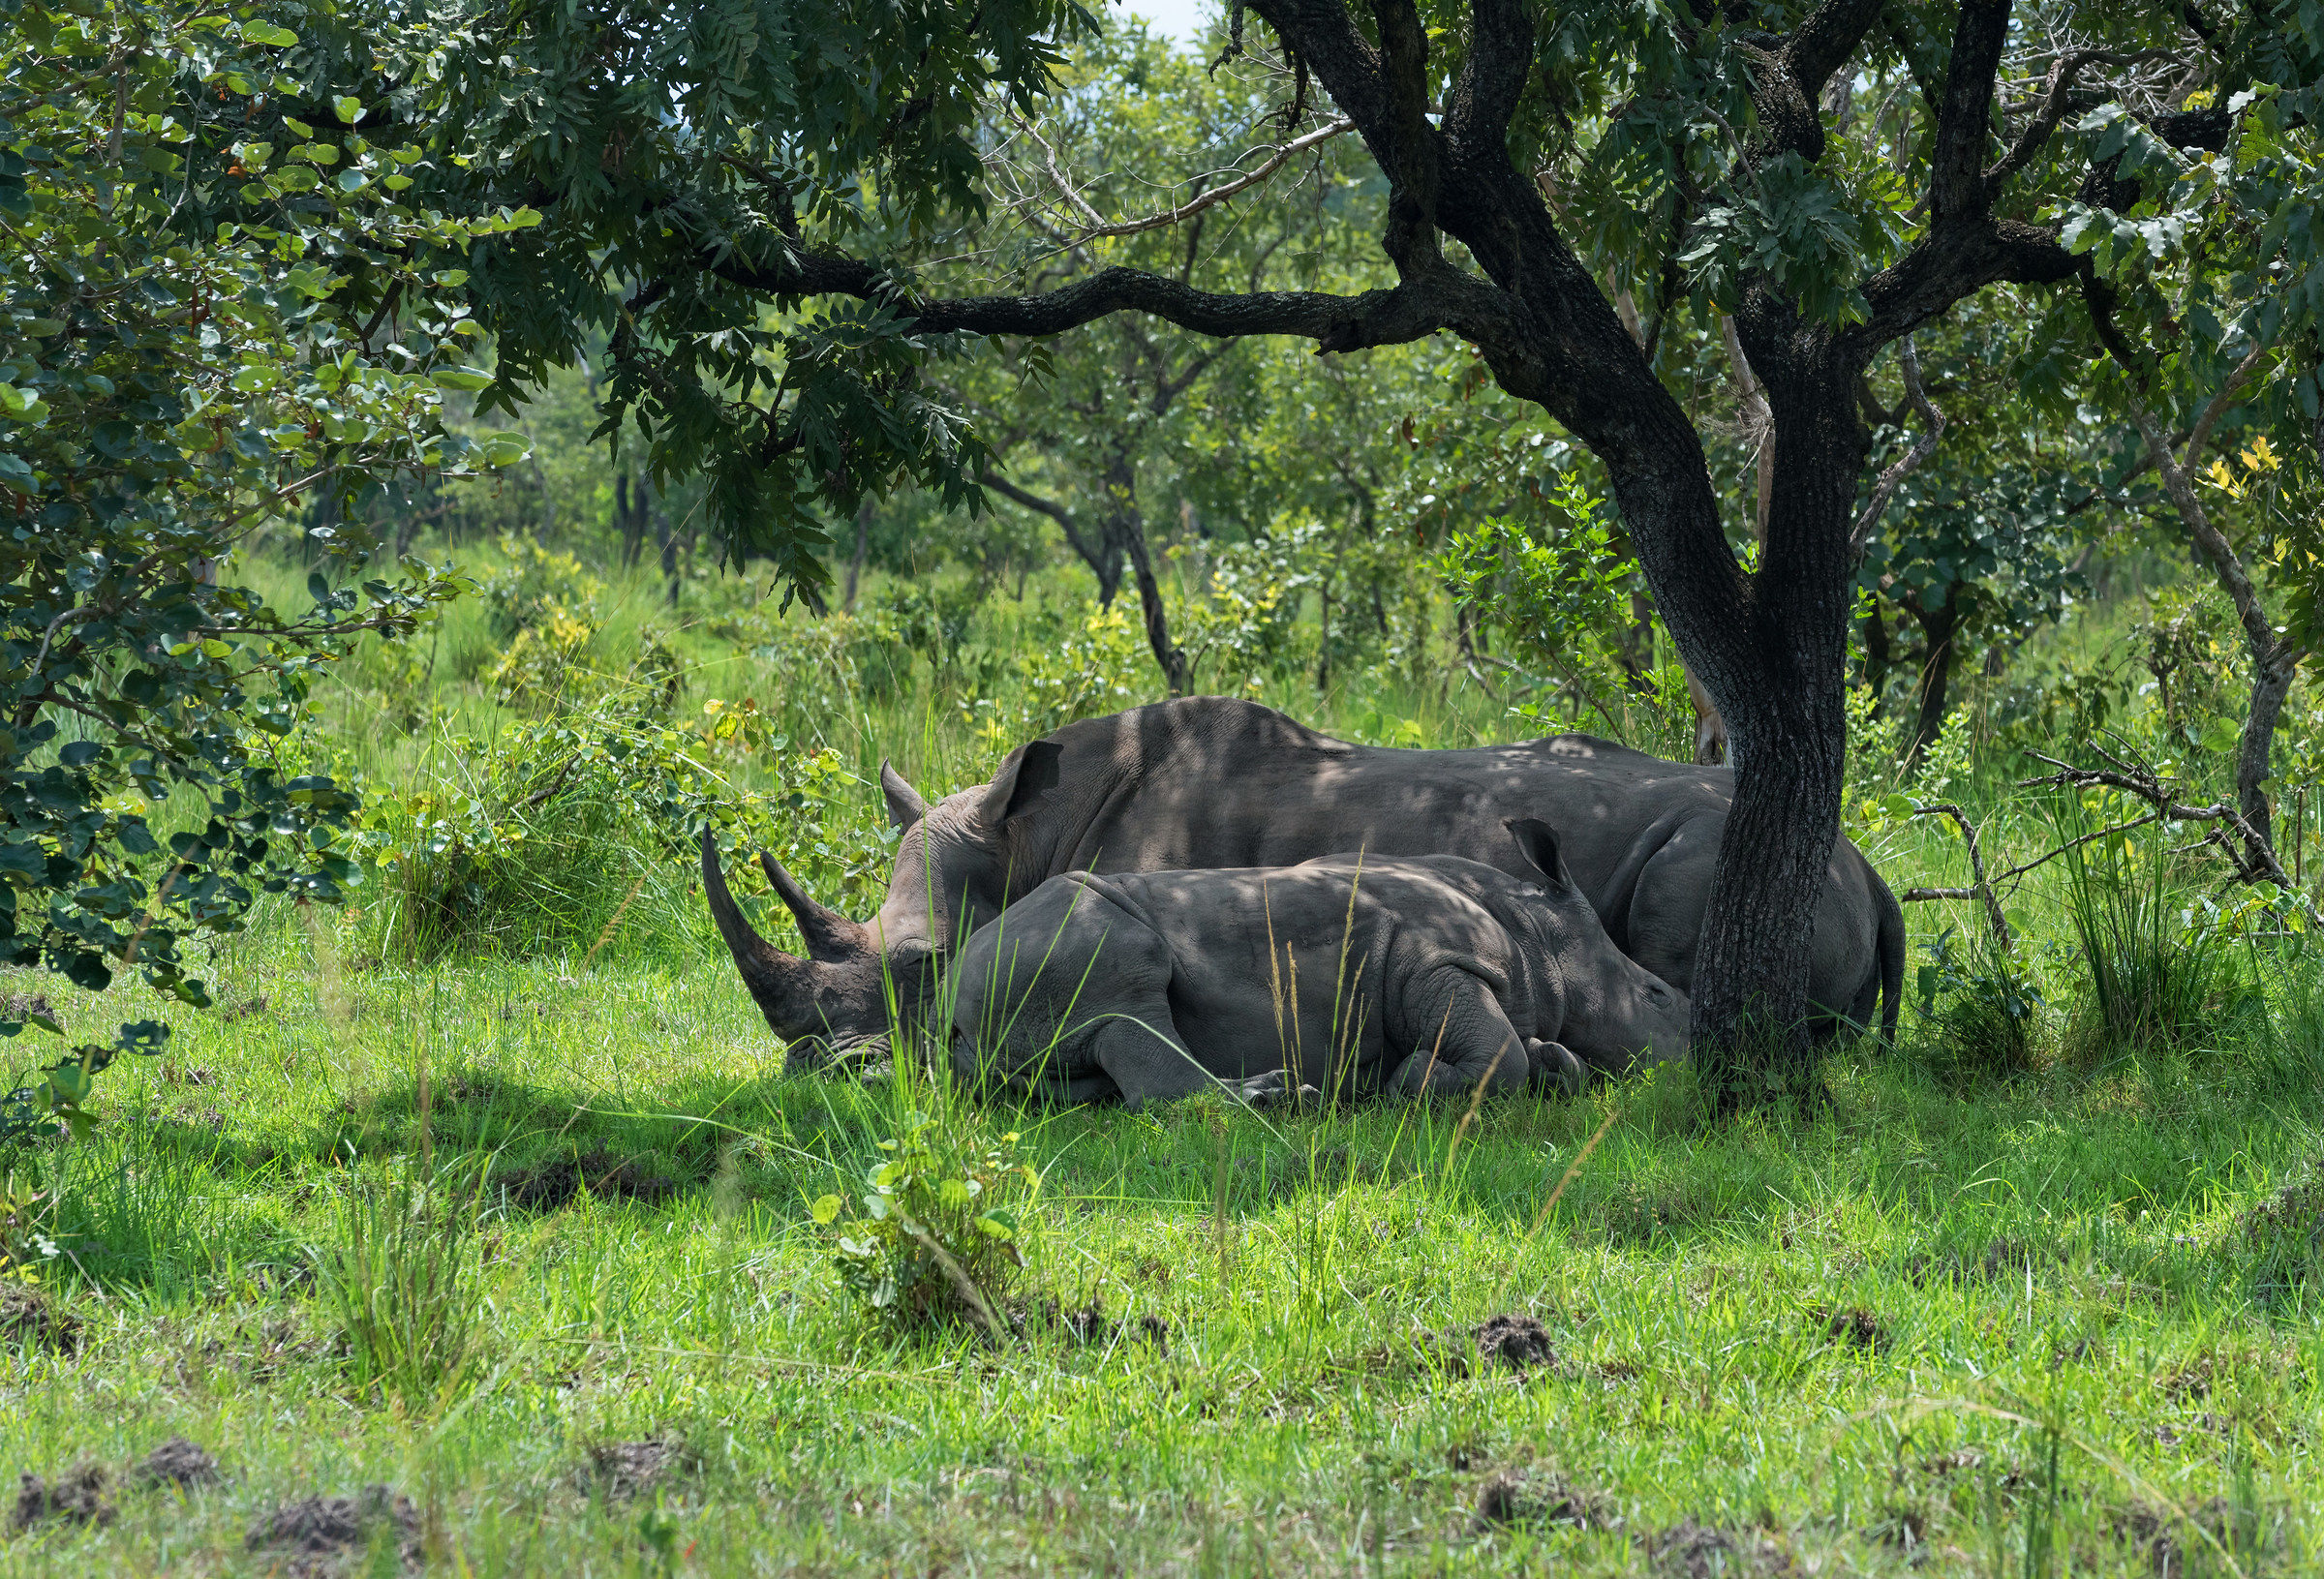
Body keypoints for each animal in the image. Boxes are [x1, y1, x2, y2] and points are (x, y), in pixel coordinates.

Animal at [948, 819, 1689, 1108]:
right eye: (1656, 993)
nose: (1691, 1050)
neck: (1538, 932)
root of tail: (947, 1010)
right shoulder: (1433, 961)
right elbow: (1499, 1056)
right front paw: (1412, 1079)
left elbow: (1530, 1053)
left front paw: (1552, 1062)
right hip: (1067, 938)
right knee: (1131, 997)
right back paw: (1282, 1097)